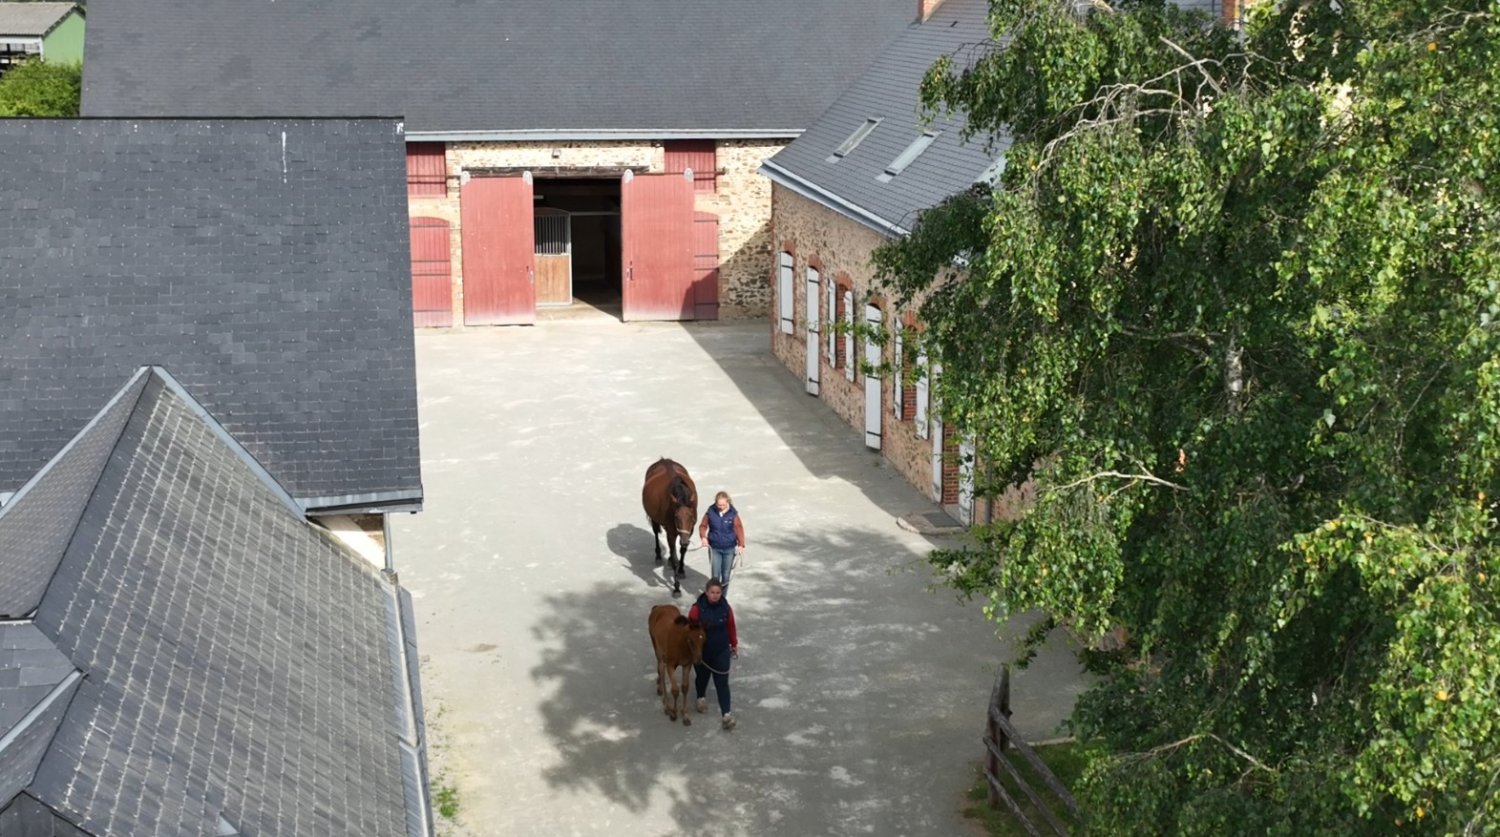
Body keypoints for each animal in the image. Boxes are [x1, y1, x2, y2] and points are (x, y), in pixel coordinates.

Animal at [641, 458, 698, 596]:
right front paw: (676, 587)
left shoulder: (689, 531)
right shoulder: (671, 532)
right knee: (656, 533)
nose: (684, 541)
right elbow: (673, 552)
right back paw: (658, 556)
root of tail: (663, 459)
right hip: (655, 520)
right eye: (676, 517)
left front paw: (681, 570)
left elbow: (682, 551)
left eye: (691, 517)